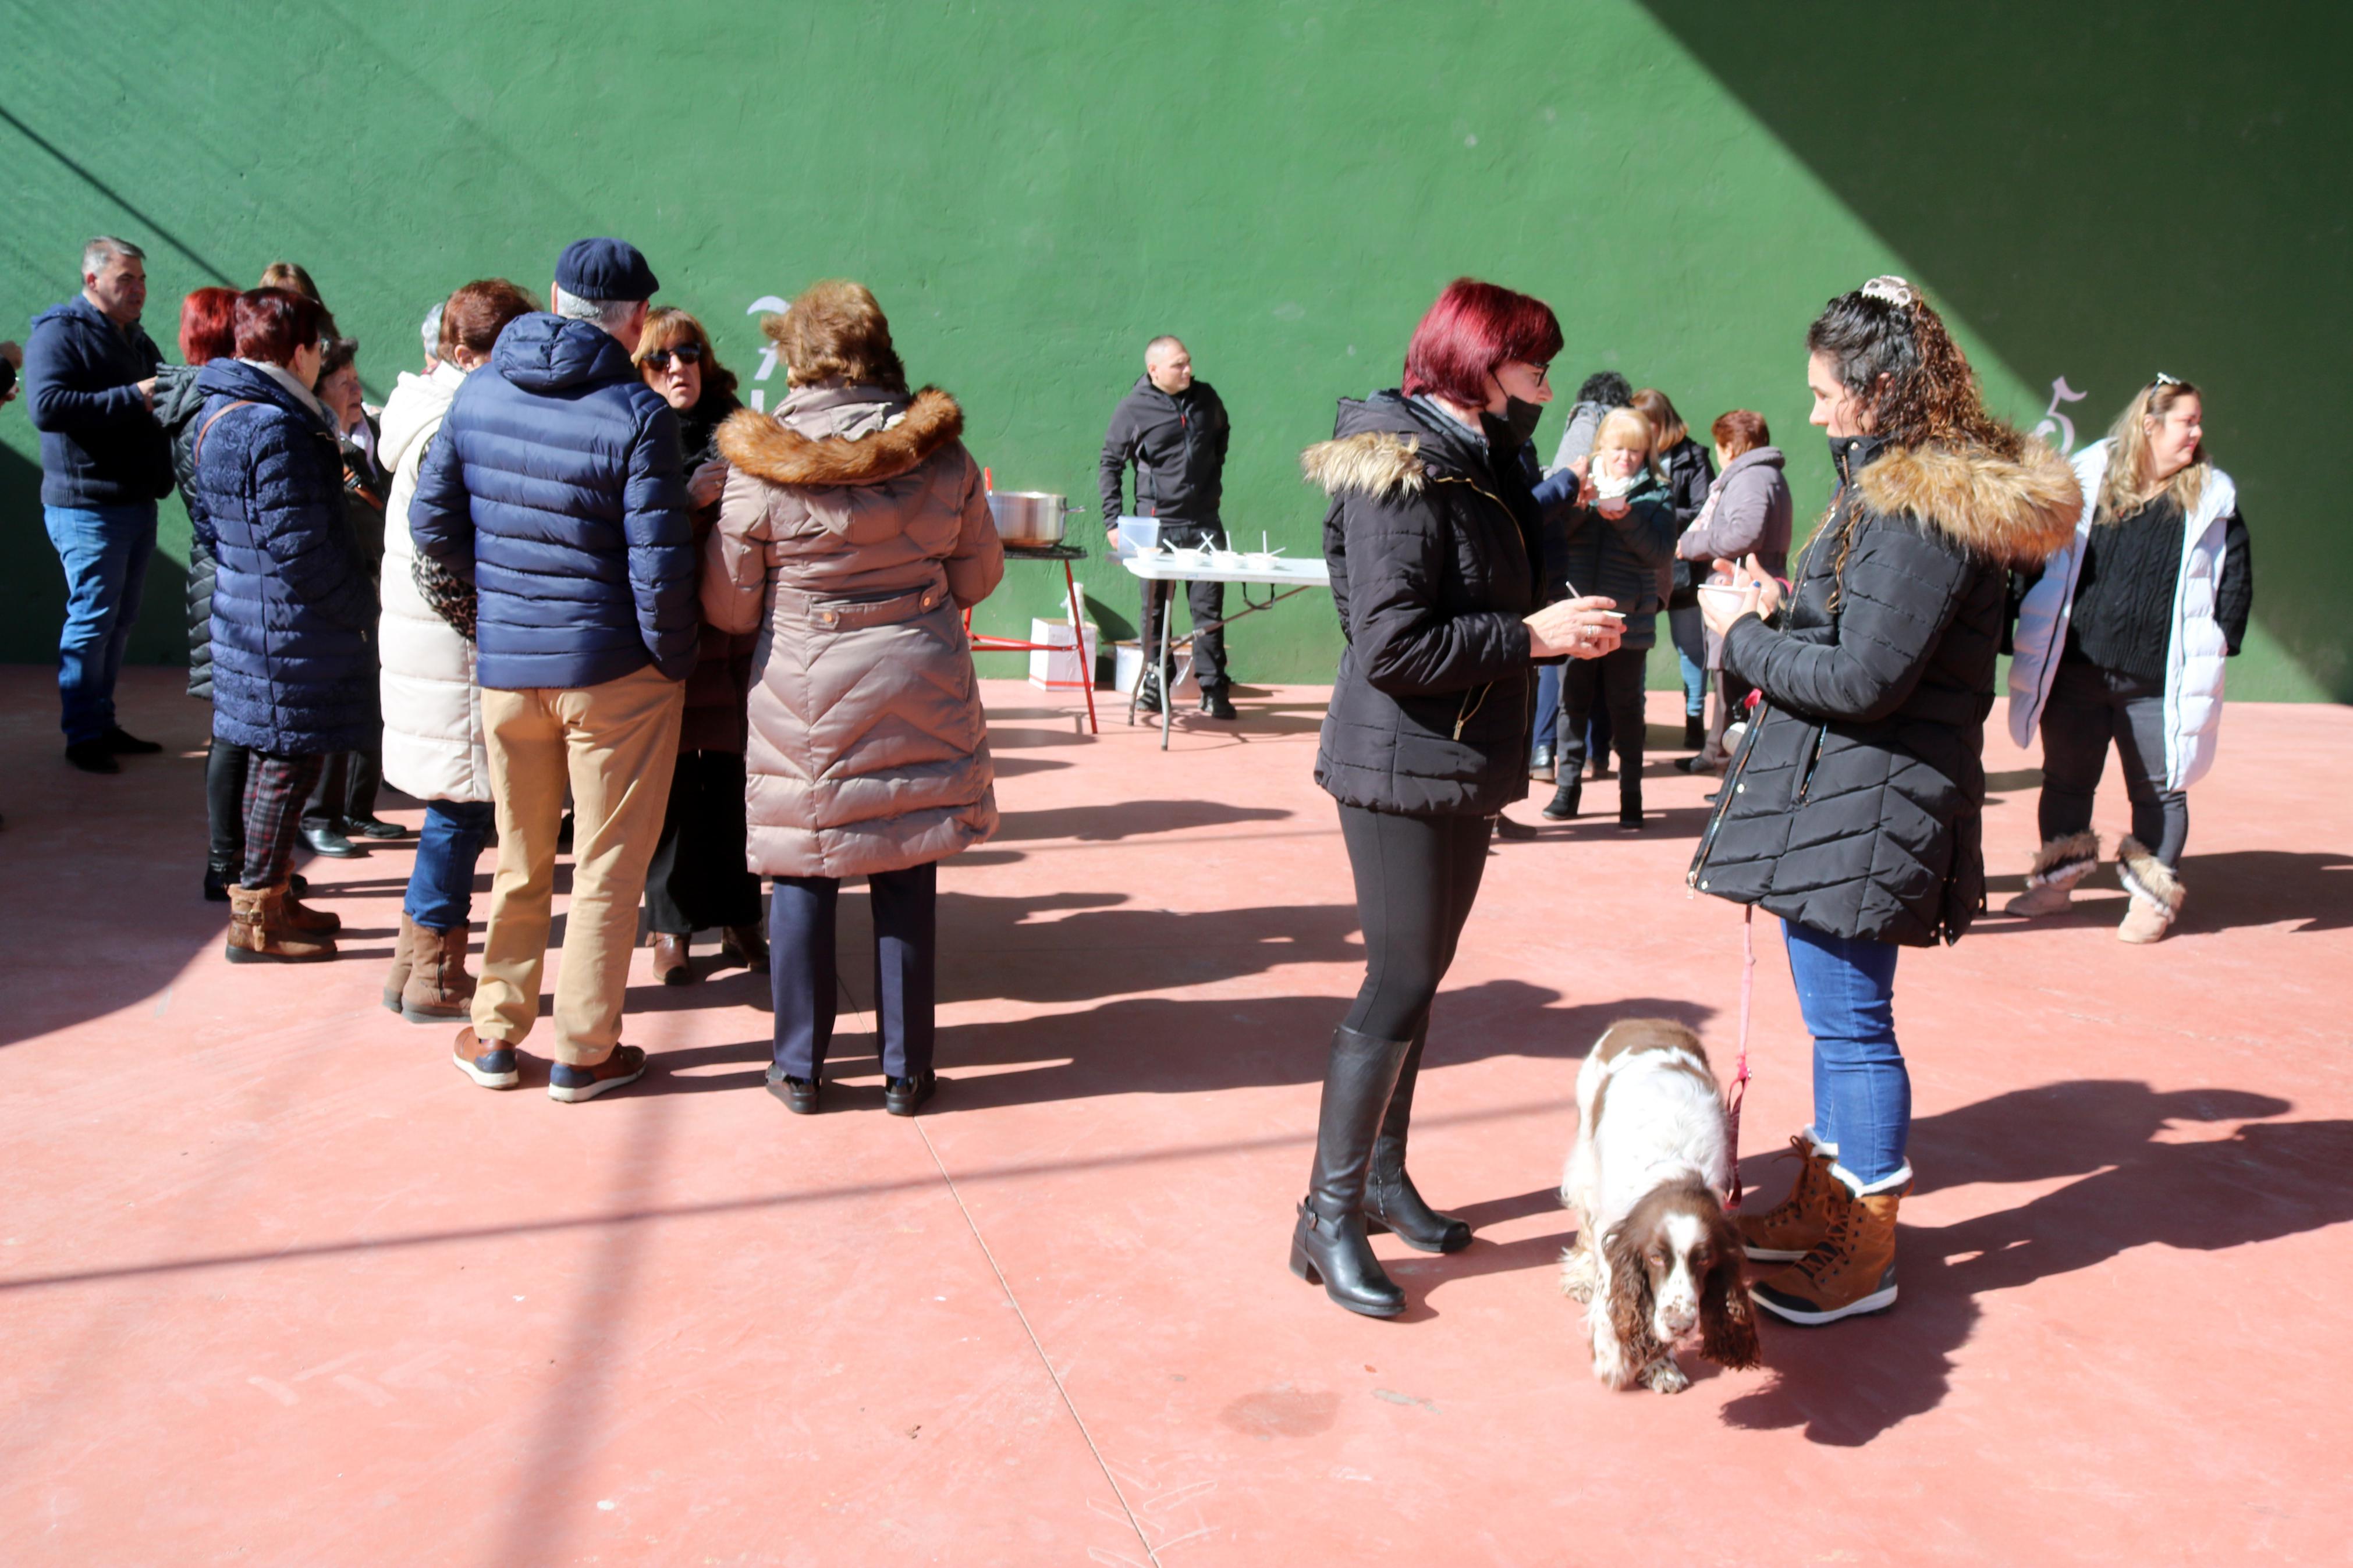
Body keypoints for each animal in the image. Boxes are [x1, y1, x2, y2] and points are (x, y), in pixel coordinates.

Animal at [1562, 1025, 1750, 1391]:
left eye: (1704, 1259)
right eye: (1656, 1258)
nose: (1680, 1326)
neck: (1673, 1173)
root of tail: (1643, 1021)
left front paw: (1661, 1366)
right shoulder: (1614, 1237)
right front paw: (1618, 1359)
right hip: (1587, 1158)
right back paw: (1579, 1278)